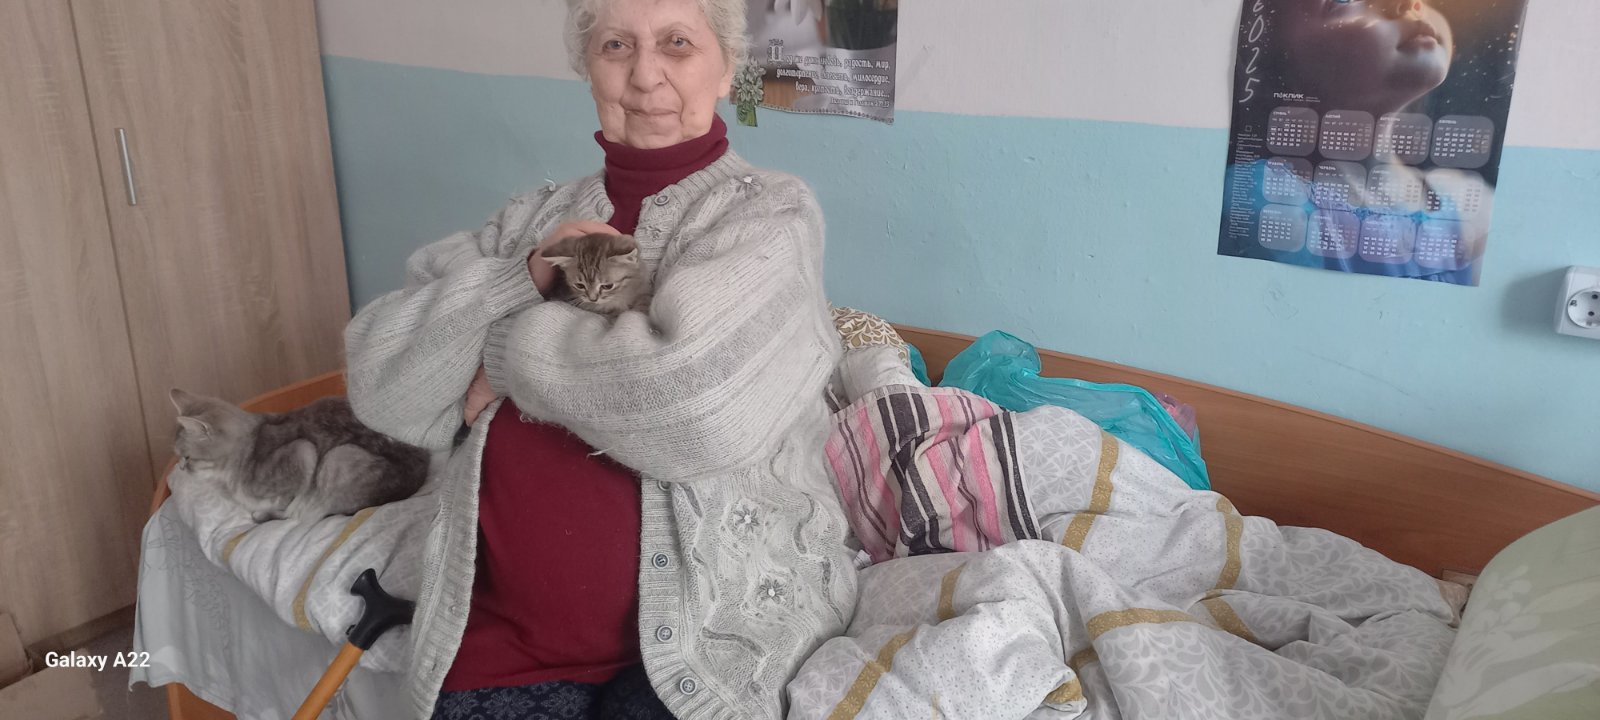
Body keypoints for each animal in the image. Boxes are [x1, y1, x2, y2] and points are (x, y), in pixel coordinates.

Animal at [169, 388, 431, 523]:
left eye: (186, 457)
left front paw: (267, 510)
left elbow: (286, 504)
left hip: (338, 457)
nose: (180, 468)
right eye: (178, 457)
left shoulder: (303, 452)